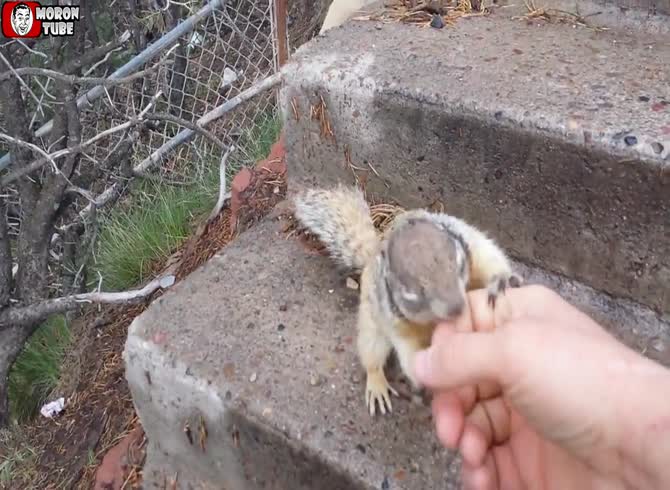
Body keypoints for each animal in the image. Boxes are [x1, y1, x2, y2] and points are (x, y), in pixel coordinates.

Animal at [293, 184, 523, 416]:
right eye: (411, 293)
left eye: (459, 264)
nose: (456, 309)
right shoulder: (398, 324)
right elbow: (409, 352)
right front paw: (422, 383)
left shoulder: (469, 242)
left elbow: (489, 256)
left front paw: (501, 280)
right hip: (371, 326)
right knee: (371, 355)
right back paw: (377, 385)